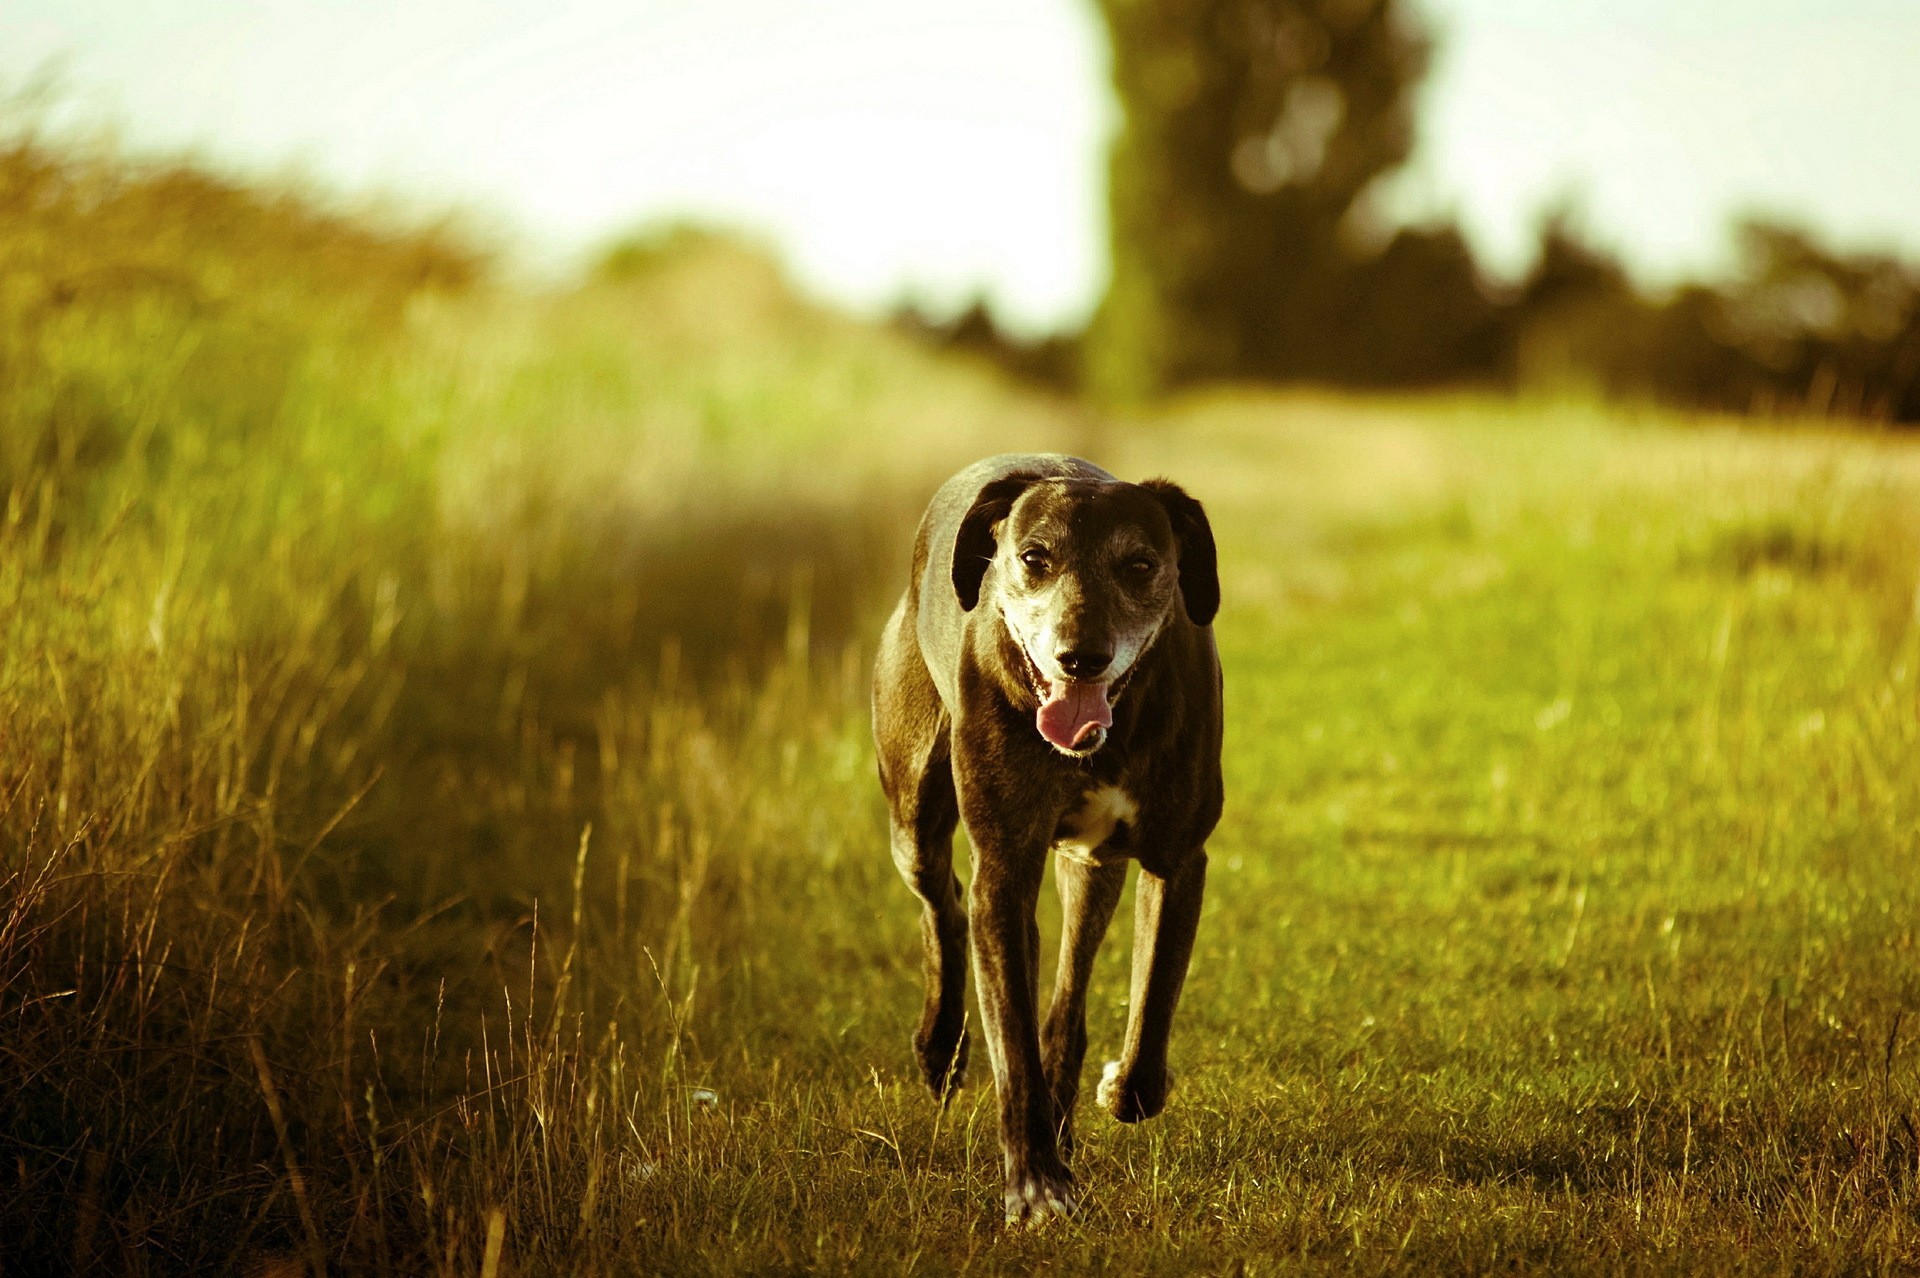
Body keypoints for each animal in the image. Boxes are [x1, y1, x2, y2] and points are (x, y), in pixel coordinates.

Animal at [867, 452, 1213, 1220]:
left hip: (1090, 868)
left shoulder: (1179, 860)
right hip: (915, 812)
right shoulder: (1004, 869)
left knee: (1065, 996)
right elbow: (1014, 1047)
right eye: (1034, 558)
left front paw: (1118, 1091)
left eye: (1140, 564)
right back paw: (942, 1048)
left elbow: (1153, 1007)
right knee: (945, 902)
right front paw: (1036, 1186)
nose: (1080, 656)